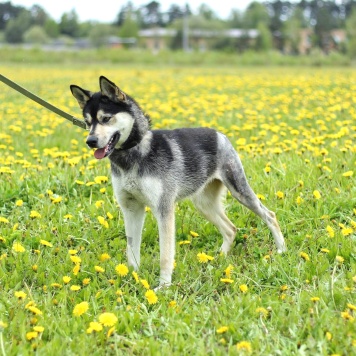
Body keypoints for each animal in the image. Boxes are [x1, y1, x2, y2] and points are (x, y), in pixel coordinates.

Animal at [70, 76, 286, 288]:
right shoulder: (131, 208)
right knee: (231, 229)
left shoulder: (163, 209)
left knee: (270, 215)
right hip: (203, 204)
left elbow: (165, 255)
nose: (90, 141)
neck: (135, 152)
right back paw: (219, 258)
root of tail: (219, 134)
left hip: (239, 189)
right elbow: (132, 249)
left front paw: (164, 286)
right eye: (87, 122)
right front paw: (132, 277)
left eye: (106, 118)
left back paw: (281, 250)